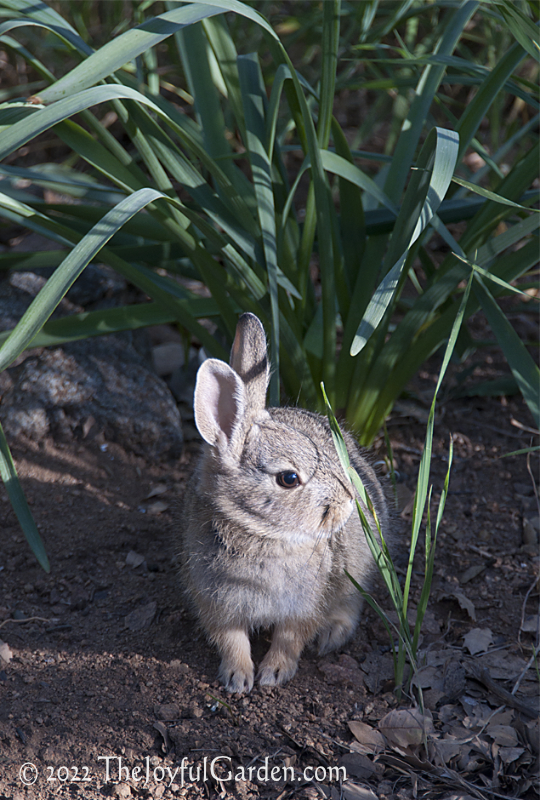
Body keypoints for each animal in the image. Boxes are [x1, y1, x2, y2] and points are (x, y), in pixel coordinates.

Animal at [179, 312, 389, 693]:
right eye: (288, 479)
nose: (348, 504)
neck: (263, 535)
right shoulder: (217, 602)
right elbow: (232, 640)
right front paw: (238, 678)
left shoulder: (305, 604)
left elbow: (290, 638)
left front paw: (274, 673)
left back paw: (332, 636)